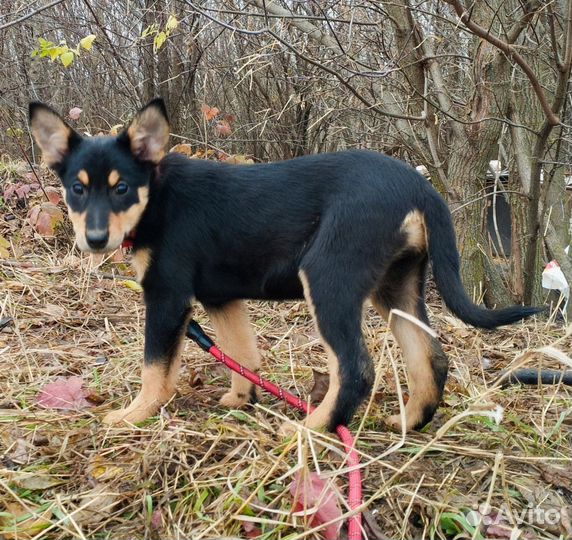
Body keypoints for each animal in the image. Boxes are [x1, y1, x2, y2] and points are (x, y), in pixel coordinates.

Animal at [30, 99, 540, 432]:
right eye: (77, 189)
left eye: (121, 188)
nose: (95, 240)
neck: (156, 196)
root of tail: (420, 188)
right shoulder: (221, 297)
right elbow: (242, 353)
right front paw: (241, 399)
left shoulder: (168, 296)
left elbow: (155, 367)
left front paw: (134, 414)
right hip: (395, 286)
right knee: (429, 356)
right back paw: (407, 424)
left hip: (329, 276)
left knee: (356, 368)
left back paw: (310, 430)